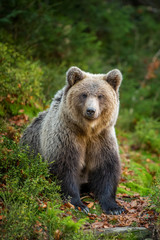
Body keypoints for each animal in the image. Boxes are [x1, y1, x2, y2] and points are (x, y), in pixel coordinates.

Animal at [20, 66, 124, 215]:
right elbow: (66, 167)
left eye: (100, 96)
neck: (87, 130)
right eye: (84, 94)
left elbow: (106, 168)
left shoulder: (101, 139)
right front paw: (79, 204)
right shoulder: (67, 136)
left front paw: (114, 207)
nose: (91, 110)